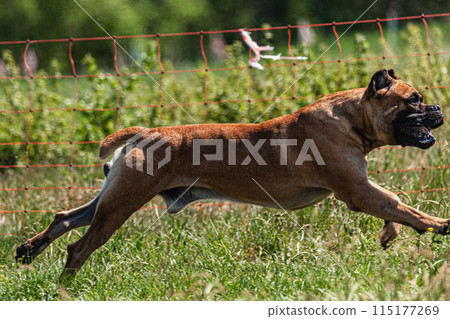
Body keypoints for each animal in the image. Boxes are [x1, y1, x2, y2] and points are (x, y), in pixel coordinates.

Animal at [14, 69, 450, 278]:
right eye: (414, 100)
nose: (438, 110)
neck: (351, 116)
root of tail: (144, 132)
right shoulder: (358, 189)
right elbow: (403, 206)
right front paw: (440, 225)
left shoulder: (362, 188)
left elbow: (393, 206)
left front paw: (391, 233)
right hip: (122, 204)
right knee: (79, 248)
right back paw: (66, 287)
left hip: (112, 197)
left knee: (67, 217)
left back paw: (30, 249)